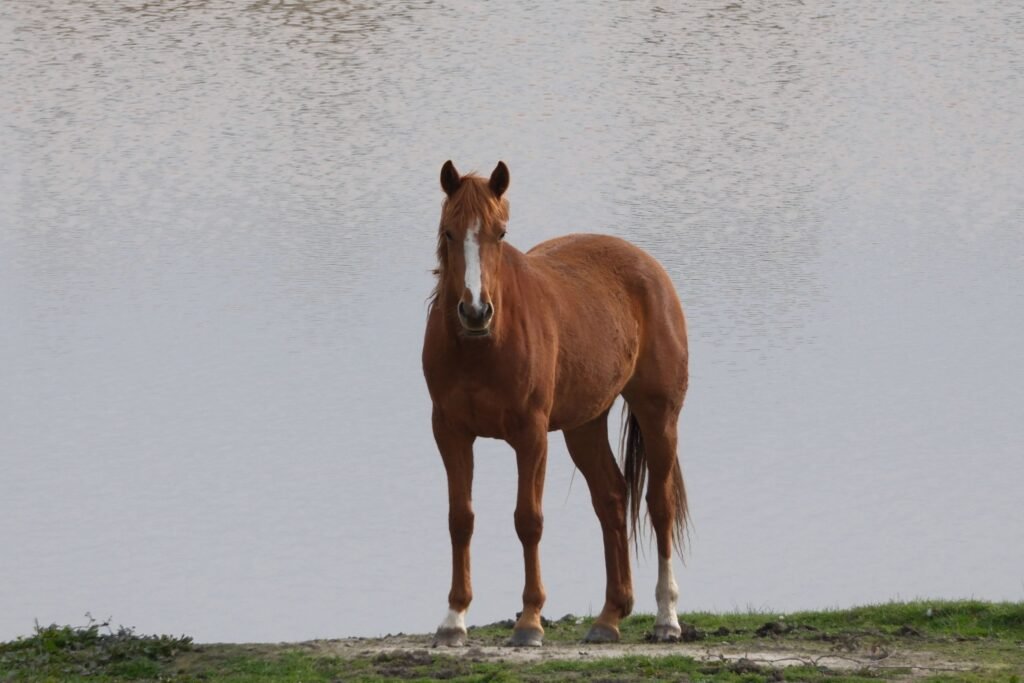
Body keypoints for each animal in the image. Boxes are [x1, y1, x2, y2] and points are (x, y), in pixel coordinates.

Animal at [422, 160, 689, 647]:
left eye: (500, 233)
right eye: (449, 232)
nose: (475, 312)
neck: (482, 347)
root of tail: (650, 268)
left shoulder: (530, 435)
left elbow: (528, 520)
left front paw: (529, 622)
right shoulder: (450, 432)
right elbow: (460, 519)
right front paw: (453, 619)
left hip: (659, 415)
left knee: (659, 507)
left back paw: (666, 619)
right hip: (585, 426)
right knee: (611, 497)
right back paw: (609, 617)